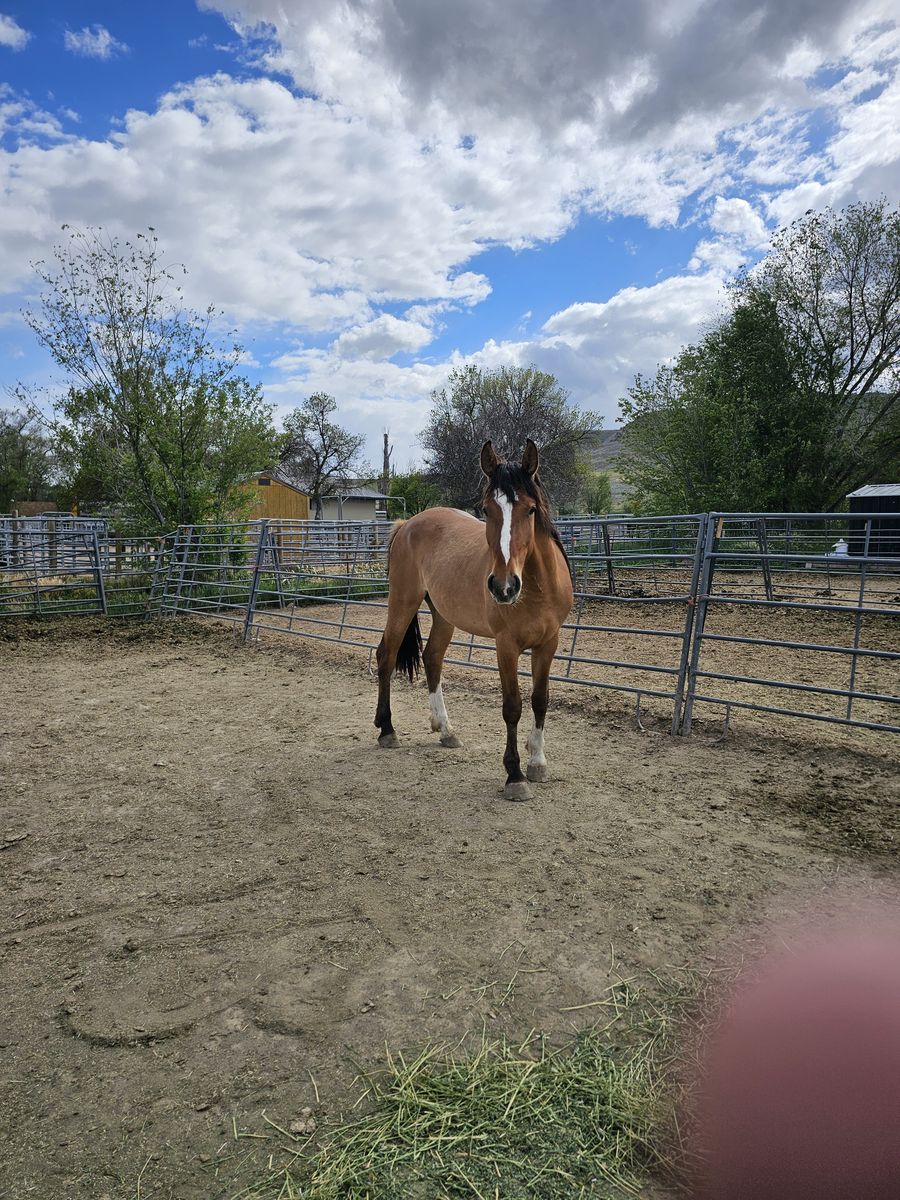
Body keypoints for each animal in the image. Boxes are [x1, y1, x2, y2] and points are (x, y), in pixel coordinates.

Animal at [373, 439, 574, 801]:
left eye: (530, 509)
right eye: (486, 509)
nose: (503, 586)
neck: (537, 588)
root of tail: (407, 524)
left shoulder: (548, 644)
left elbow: (540, 700)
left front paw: (537, 762)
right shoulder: (506, 646)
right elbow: (513, 706)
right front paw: (515, 776)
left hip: (443, 615)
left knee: (432, 658)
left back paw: (445, 730)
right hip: (402, 603)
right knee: (387, 655)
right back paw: (387, 730)